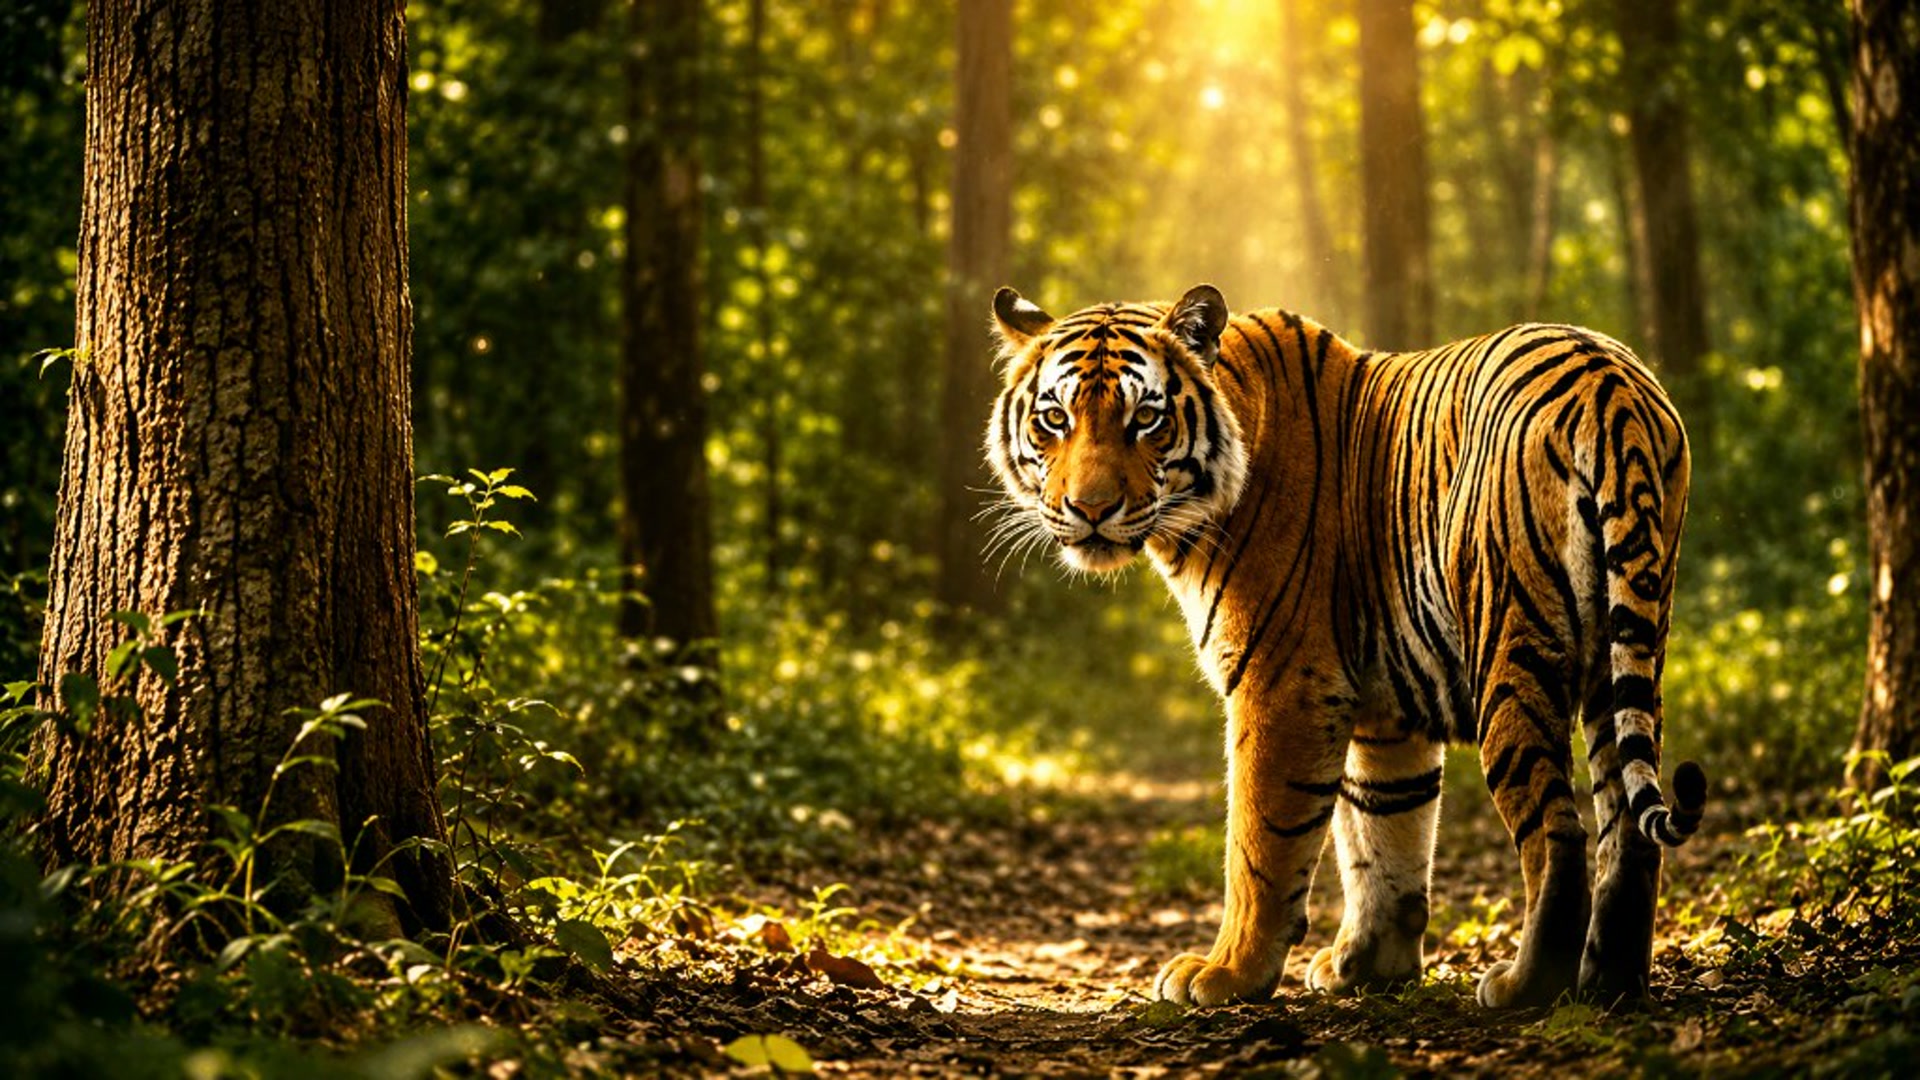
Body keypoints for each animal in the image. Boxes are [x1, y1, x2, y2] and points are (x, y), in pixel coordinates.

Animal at [982, 283, 1707, 1009]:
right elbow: (1383, 833)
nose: (1090, 509)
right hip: (1624, 652)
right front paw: (1369, 966)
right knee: (1628, 832)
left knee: (1558, 831)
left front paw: (1228, 973)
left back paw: (1525, 985)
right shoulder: (1386, 707)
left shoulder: (1283, 683)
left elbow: (1262, 844)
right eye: (1054, 419)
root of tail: (1608, 388)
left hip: (1510, 644)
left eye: (1145, 420)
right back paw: (1611, 981)